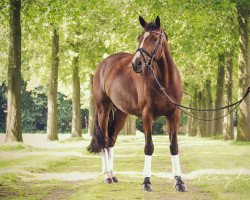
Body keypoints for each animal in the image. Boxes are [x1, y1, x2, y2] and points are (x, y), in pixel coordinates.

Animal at [88, 16, 188, 192]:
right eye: (139, 38)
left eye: (154, 38)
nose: (136, 64)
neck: (164, 81)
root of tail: (103, 64)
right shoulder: (147, 114)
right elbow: (149, 147)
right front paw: (146, 181)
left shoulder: (174, 114)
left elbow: (174, 146)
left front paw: (179, 182)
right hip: (103, 109)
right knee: (104, 140)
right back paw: (107, 176)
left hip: (121, 113)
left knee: (111, 140)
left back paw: (113, 175)